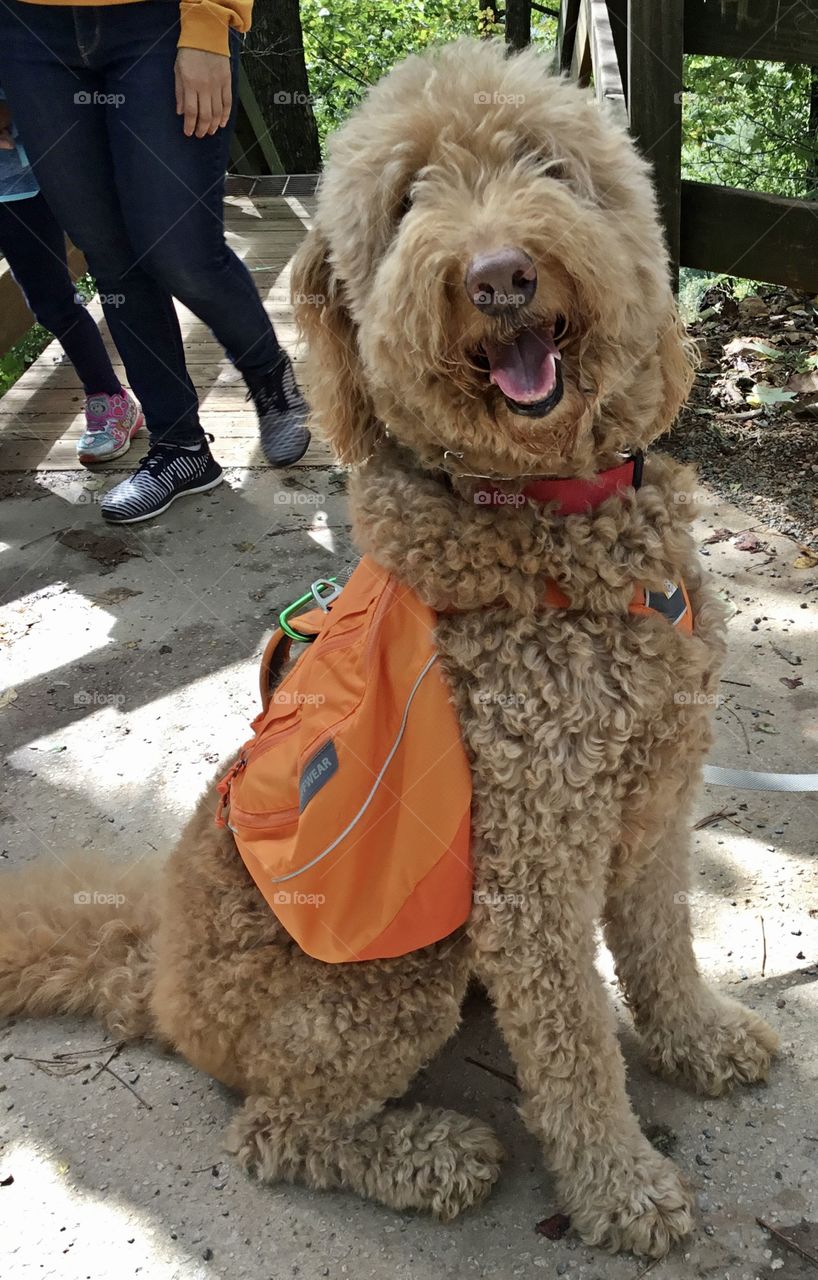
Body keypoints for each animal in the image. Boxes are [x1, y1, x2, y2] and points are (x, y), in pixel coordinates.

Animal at [1, 40, 778, 1259]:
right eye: (409, 200)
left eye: (545, 163)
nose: (499, 275)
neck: (550, 517)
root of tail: (158, 976)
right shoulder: (531, 864)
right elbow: (572, 1046)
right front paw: (619, 1186)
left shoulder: (655, 800)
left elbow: (662, 942)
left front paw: (699, 1039)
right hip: (393, 973)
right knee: (272, 1130)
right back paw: (431, 1153)